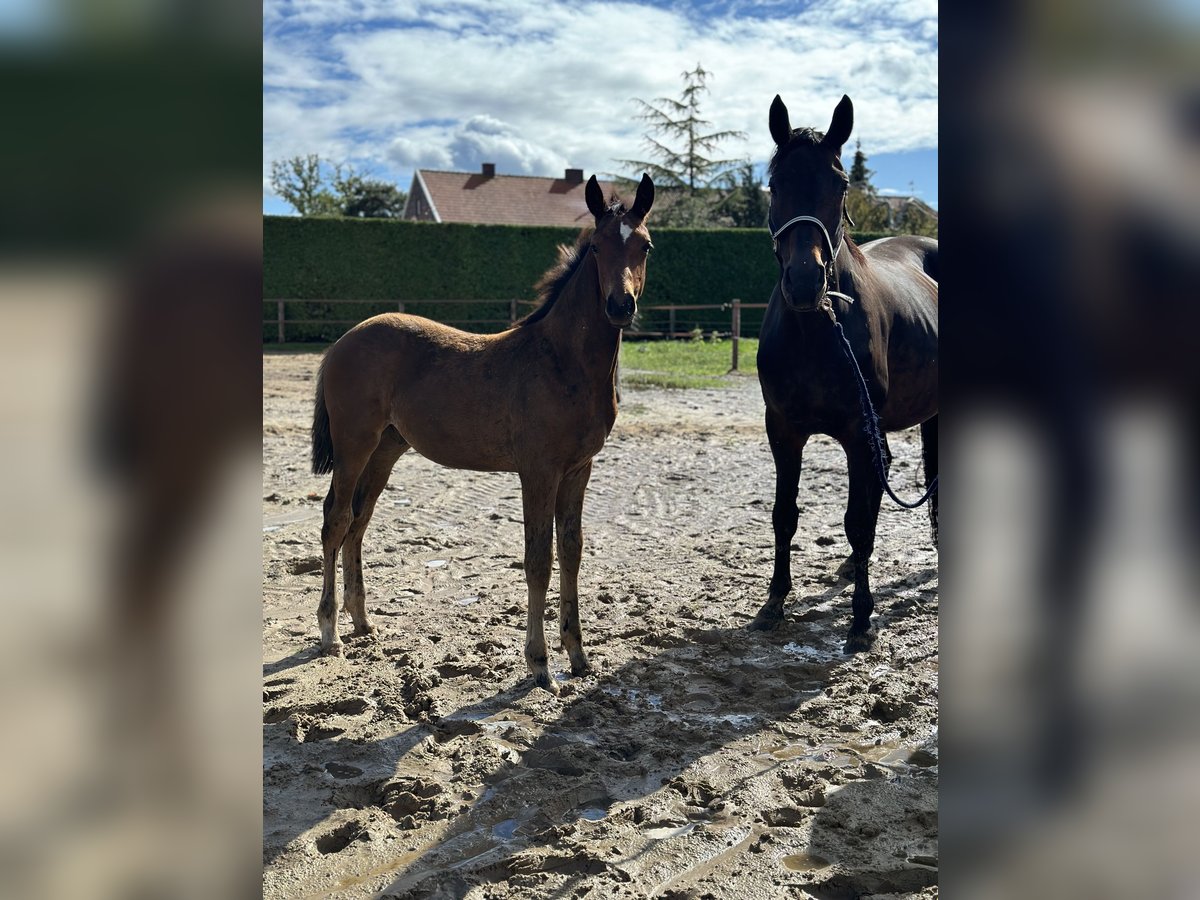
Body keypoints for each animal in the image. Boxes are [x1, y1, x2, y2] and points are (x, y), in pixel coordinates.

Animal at [304, 174, 652, 691]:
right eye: (595, 247)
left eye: (645, 245)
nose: (619, 305)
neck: (561, 361)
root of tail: (344, 341)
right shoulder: (538, 471)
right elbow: (538, 560)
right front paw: (539, 664)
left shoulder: (579, 469)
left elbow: (571, 551)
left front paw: (578, 656)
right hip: (354, 445)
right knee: (336, 519)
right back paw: (330, 632)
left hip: (386, 449)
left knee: (359, 522)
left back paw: (363, 621)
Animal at [748, 95, 936, 652]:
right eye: (776, 184)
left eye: (841, 184)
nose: (805, 281)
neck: (817, 328)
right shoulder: (782, 430)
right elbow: (784, 515)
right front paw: (774, 602)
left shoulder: (856, 433)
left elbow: (857, 521)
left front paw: (860, 619)